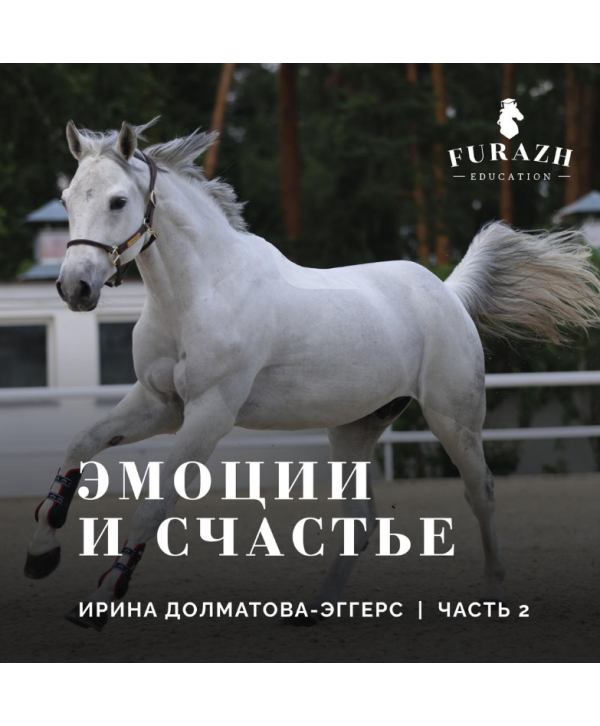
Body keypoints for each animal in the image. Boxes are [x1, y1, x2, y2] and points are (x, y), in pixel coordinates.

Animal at [25, 118, 600, 629]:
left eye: (118, 201)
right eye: (69, 200)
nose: (75, 287)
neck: (199, 292)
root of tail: (448, 292)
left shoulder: (209, 413)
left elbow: (152, 505)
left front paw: (100, 601)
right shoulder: (159, 404)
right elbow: (81, 445)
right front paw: (40, 553)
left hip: (453, 419)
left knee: (480, 493)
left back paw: (493, 594)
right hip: (354, 430)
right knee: (361, 522)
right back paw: (314, 608)